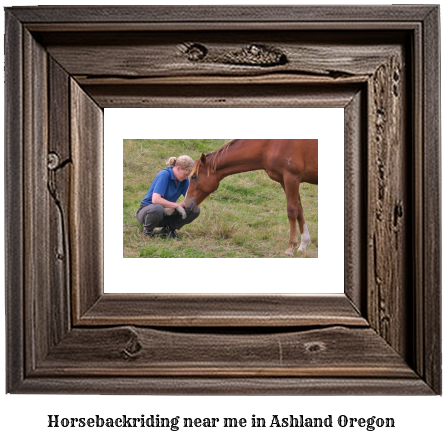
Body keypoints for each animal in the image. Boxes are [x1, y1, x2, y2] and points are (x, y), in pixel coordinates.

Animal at [185, 139, 320, 256]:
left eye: (194, 176)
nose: (187, 203)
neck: (270, 145)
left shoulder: (291, 178)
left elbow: (292, 211)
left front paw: (290, 247)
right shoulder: (284, 181)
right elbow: (299, 211)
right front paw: (303, 244)